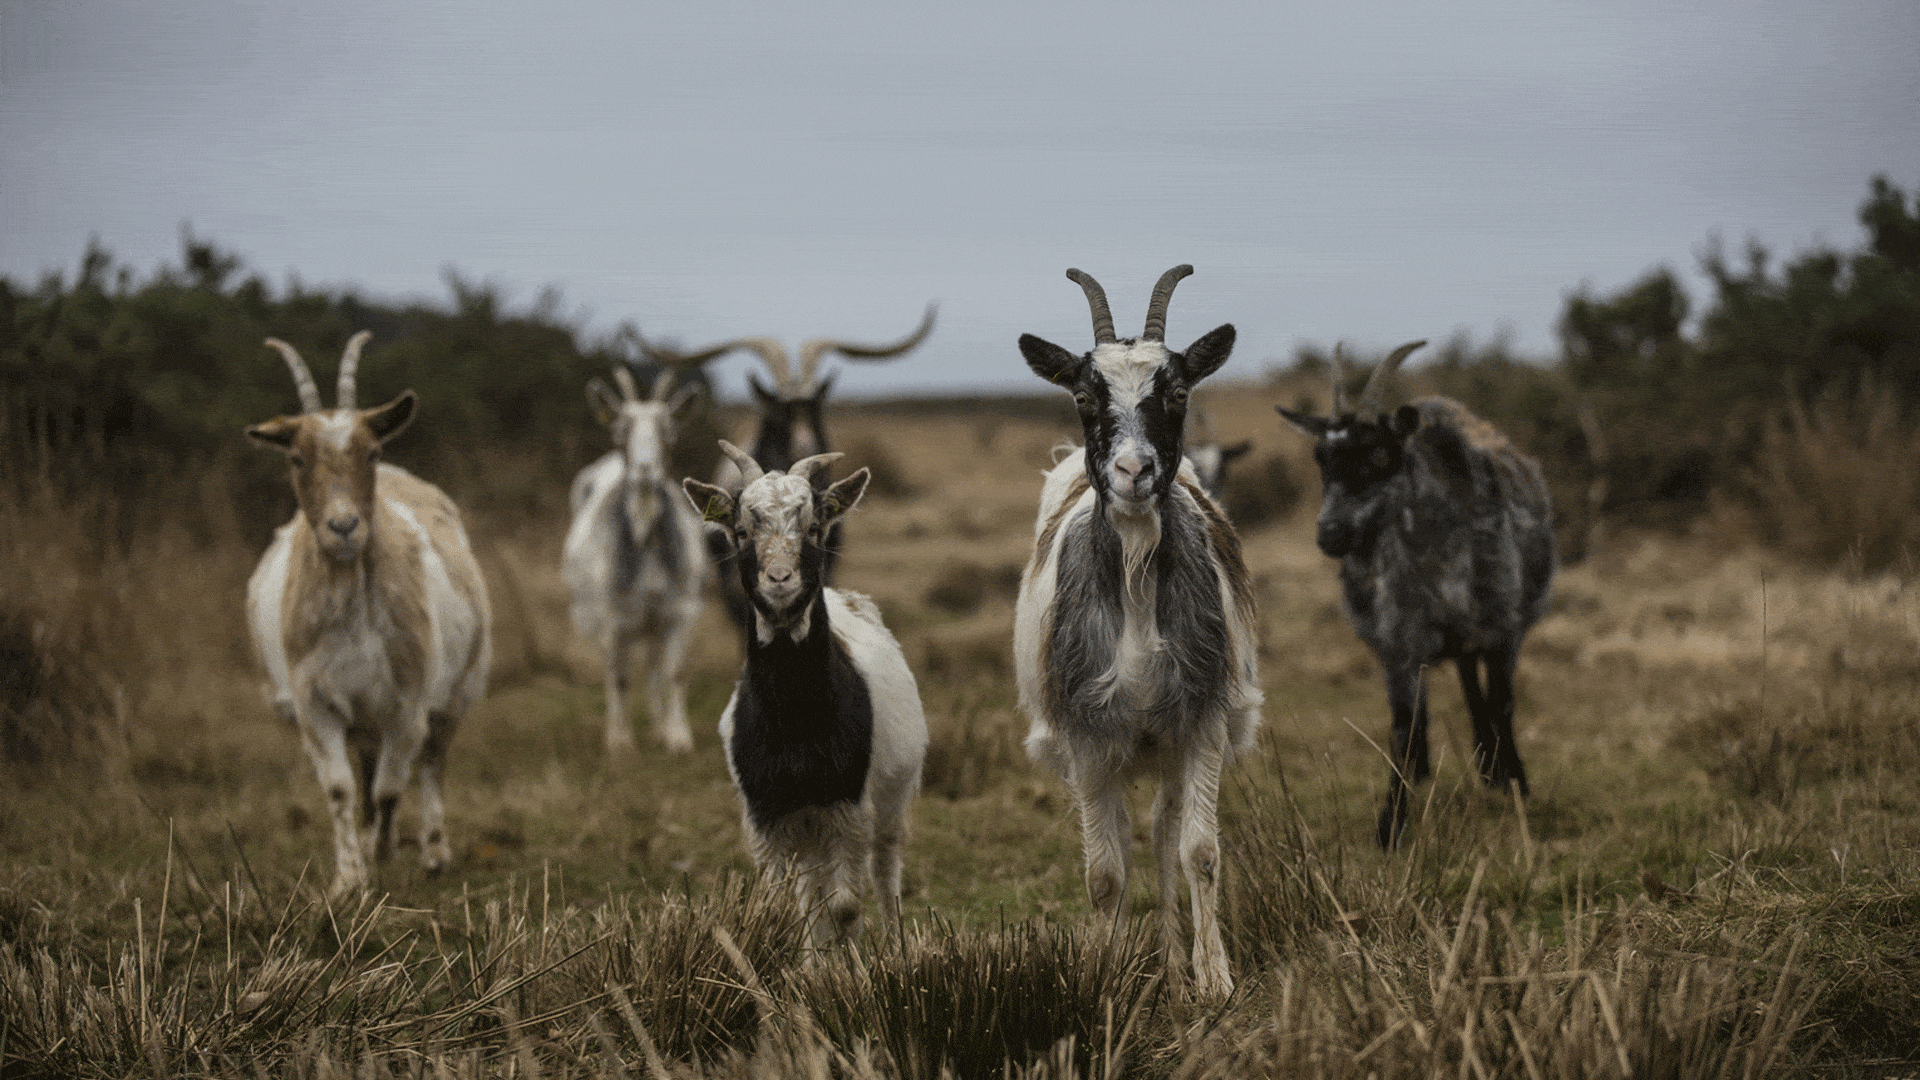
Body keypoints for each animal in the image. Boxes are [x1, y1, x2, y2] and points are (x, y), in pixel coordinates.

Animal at [243, 332, 495, 895]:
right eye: (296, 458)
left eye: (373, 452)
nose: (343, 527)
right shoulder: (314, 702)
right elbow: (341, 789)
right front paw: (349, 878)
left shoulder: (407, 703)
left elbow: (389, 789)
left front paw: (383, 853)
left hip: (456, 693)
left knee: (431, 766)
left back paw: (433, 852)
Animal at [560, 361, 714, 749]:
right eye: (620, 430)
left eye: (669, 431)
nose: (646, 472)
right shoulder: (613, 617)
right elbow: (619, 677)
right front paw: (620, 742)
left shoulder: (679, 611)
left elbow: (674, 673)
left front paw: (677, 738)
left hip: (653, 621)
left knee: (655, 667)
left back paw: (659, 726)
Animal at [687, 438, 925, 941]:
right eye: (740, 530)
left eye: (814, 527)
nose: (780, 579)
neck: (795, 720)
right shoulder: (766, 815)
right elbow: (786, 908)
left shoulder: (848, 805)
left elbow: (846, 909)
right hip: (807, 827)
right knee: (810, 892)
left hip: (888, 801)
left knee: (886, 872)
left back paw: (896, 944)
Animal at [1013, 263, 1267, 991]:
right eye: (1083, 395)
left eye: (1176, 392)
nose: (1133, 472)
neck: (1132, 573)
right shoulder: (1088, 736)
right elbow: (1104, 873)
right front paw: (1102, 977)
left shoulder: (1202, 717)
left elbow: (1198, 850)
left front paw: (1213, 977)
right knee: (1131, 840)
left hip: (1167, 742)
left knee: (1161, 832)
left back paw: (1177, 963)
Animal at [1274, 340, 1559, 845]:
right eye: (1320, 459)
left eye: (1378, 455)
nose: (1330, 535)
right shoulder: (1400, 643)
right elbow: (1404, 727)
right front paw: (1391, 822)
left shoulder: (1503, 629)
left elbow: (1502, 704)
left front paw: (1517, 783)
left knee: (1476, 687)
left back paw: (1491, 765)